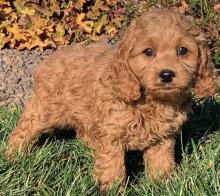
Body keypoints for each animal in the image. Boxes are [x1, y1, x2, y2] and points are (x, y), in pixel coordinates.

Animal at [7, 8, 217, 190]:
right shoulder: (111, 135)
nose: (166, 74)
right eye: (148, 52)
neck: (152, 100)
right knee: (24, 130)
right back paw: (13, 154)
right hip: (46, 109)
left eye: (183, 51)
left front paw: (162, 184)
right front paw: (112, 188)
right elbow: (112, 168)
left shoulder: (163, 137)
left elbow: (161, 162)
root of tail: (51, 59)